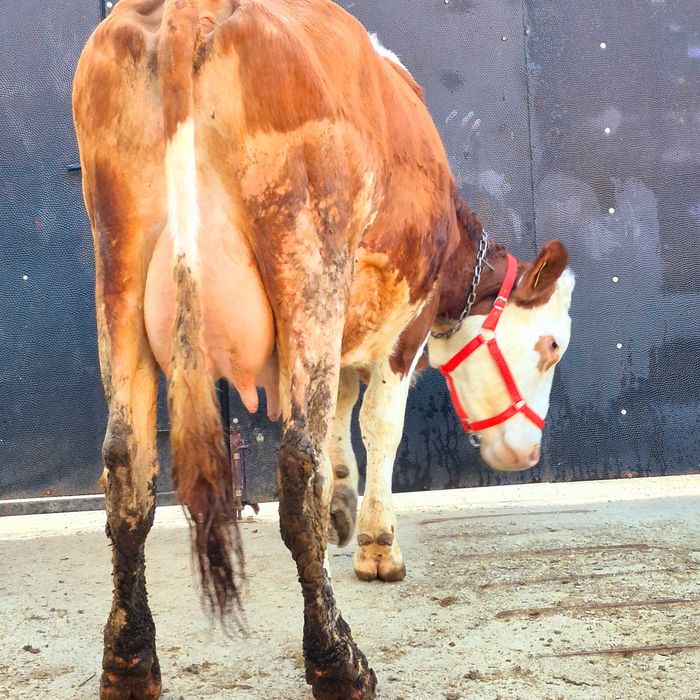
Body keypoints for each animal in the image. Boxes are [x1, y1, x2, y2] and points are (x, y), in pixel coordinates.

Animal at [72, 0, 574, 698]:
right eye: (550, 345)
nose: (527, 453)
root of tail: (190, 12)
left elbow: (338, 411)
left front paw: (343, 505)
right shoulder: (404, 326)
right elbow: (379, 425)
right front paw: (376, 545)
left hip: (117, 262)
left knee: (126, 466)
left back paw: (129, 663)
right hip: (307, 256)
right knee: (293, 468)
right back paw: (338, 661)